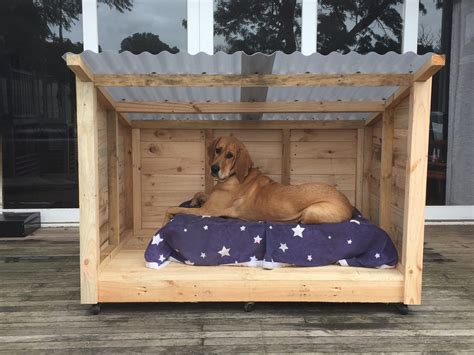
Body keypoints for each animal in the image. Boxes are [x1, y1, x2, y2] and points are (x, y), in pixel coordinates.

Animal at [163, 136, 352, 225]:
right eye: (218, 150)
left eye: (230, 155)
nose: (214, 169)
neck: (233, 175)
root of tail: (349, 204)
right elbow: (199, 192)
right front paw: (194, 199)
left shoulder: (207, 211)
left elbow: (172, 208)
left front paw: (165, 221)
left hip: (311, 212)